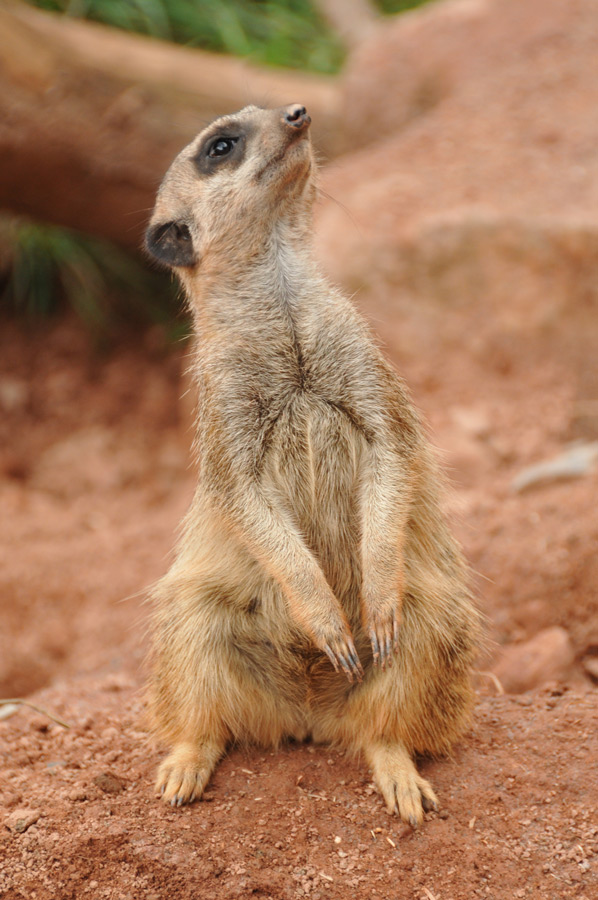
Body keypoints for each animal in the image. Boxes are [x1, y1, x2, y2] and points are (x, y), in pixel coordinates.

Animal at [144, 104, 479, 825]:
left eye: (269, 109)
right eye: (220, 145)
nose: (298, 114)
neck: (283, 312)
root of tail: (308, 717)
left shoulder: (363, 361)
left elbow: (391, 449)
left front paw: (374, 593)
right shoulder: (222, 402)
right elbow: (239, 493)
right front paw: (325, 614)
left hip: (433, 617)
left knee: (403, 680)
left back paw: (395, 764)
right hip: (198, 616)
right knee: (196, 665)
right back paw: (188, 758)